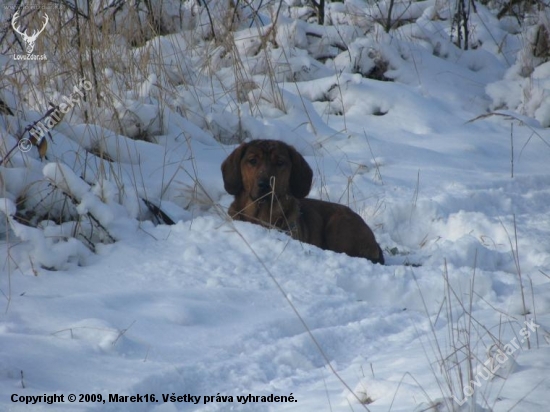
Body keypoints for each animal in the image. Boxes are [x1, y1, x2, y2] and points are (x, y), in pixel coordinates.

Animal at [222, 140, 386, 264]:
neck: (262, 214)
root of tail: (375, 243)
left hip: (338, 224)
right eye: (252, 160)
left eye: (280, 162)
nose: (265, 184)